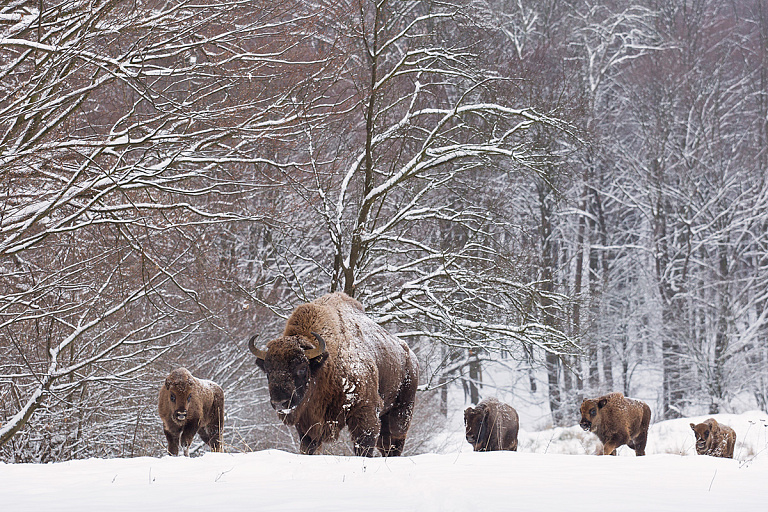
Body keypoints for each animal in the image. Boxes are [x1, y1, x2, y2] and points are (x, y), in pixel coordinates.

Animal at [250, 292, 420, 456]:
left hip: (401, 411)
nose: (280, 403)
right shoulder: (307, 424)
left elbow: (364, 446)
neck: (326, 365)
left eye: (301, 368)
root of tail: (410, 355)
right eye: (268, 371)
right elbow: (308, 447)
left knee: (395, 440)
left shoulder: (365, 412)